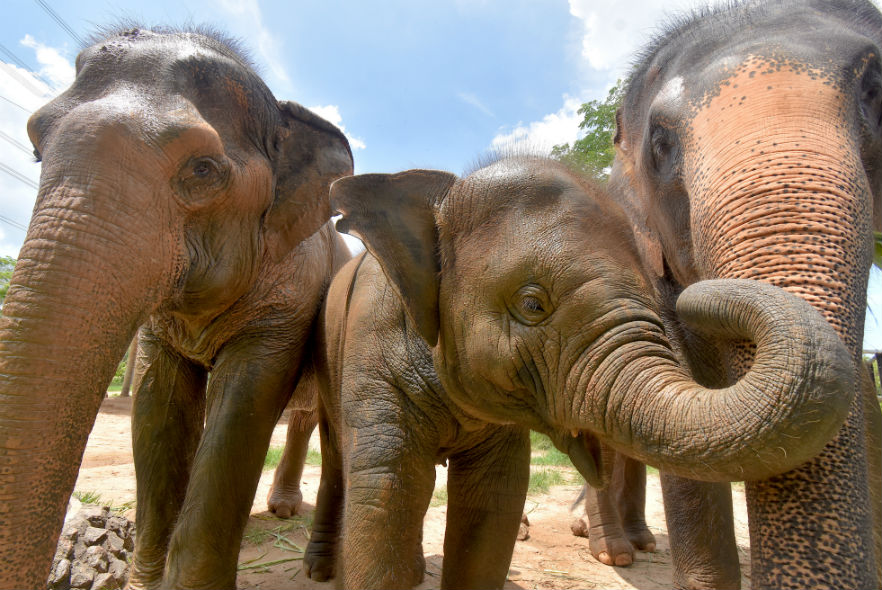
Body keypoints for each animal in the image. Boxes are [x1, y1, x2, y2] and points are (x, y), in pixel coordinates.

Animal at [0, 25, 350, 588]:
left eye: (203, 169)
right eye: (35, 149)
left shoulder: (289, 297)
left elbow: (242, 409)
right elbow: (157, 409)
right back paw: (281, 510)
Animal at [302, 157, 852, 590]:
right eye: (532, 304)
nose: (689, 290)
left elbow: (493, 502)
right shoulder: (373, 353)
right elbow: (387, 490)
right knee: (336, 458)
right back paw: (320, 571)